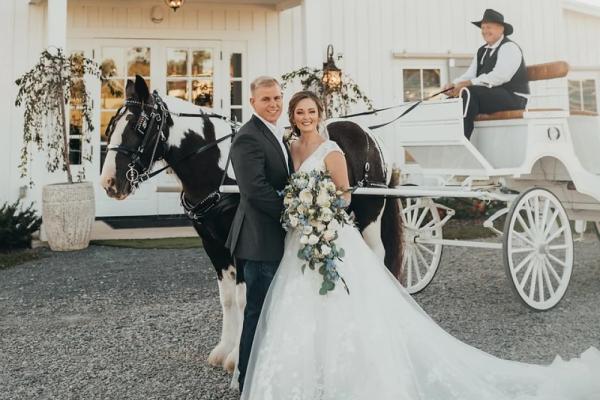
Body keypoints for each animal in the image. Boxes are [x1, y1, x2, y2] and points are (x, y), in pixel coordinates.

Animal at [101, 76, 406, 376]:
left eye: (139, 125)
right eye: (112, 125)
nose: (109, 183)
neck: (218, 169)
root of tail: (369, 135)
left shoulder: (241, 242)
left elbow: (243, 297)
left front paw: (237, 358)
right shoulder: (212, 243)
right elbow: (226, 297)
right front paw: (224, 349)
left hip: (369, 217)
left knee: (378, 257)